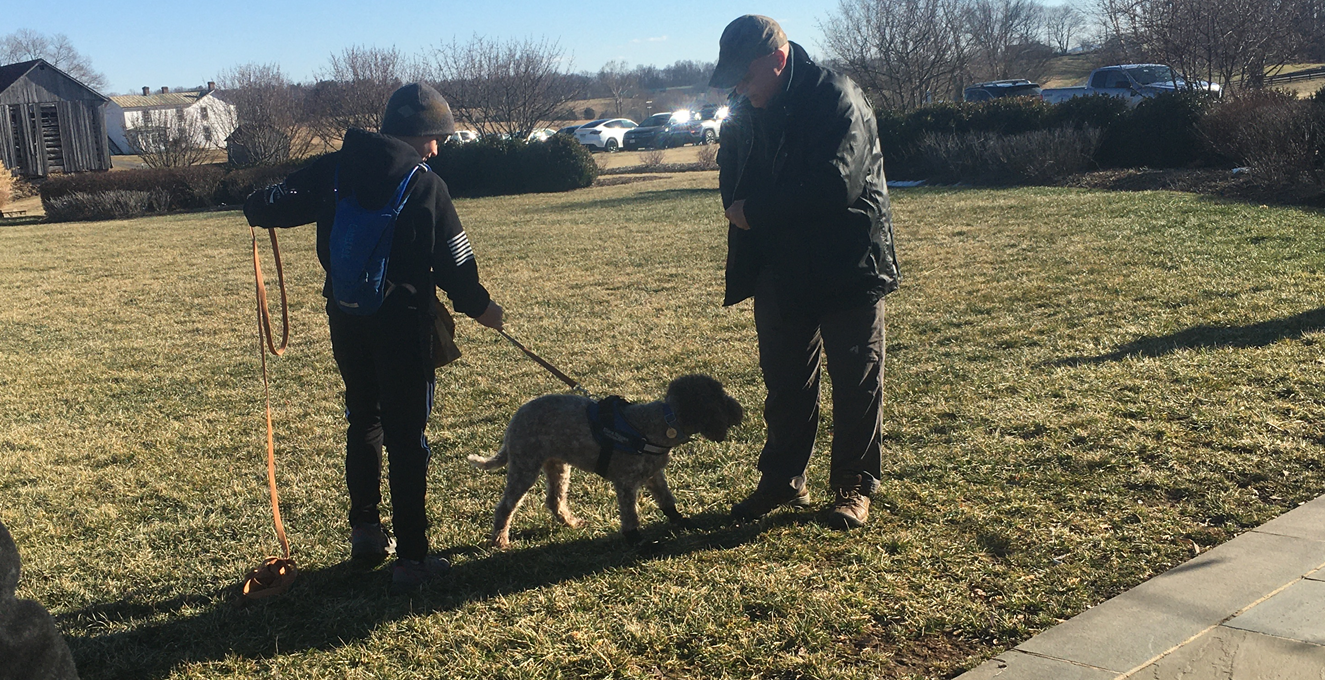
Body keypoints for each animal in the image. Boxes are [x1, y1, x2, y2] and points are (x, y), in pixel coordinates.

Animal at [471, 373, 747, 548]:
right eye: (720, 398)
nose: (740, 410)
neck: (659, 423)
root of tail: (515, 420)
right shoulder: (626, 483)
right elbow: (630, 514)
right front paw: (637, 540)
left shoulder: (654, 475)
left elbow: (667, 500)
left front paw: (681, 521)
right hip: (525, 466)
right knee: (506, 507)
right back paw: (500, 541)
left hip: (558, 466)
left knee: (554, 500)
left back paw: (570, 522)